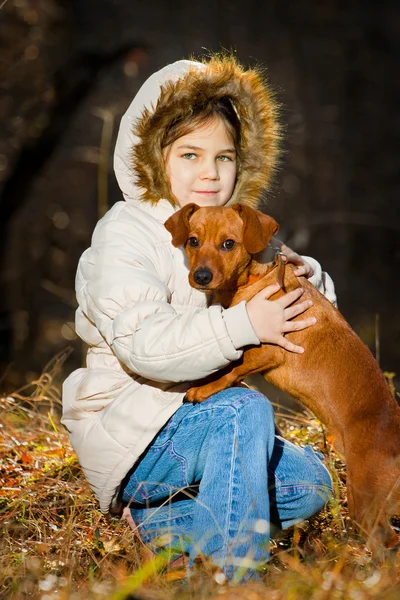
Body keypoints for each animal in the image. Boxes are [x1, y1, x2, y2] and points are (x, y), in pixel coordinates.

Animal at [164, 204, 398, 552]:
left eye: (229, 244)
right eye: (193, 241)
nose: (201, 277)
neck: (256, 279)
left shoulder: (268, 350)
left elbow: (232, 366)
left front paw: (204, 388)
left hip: (367, 504)